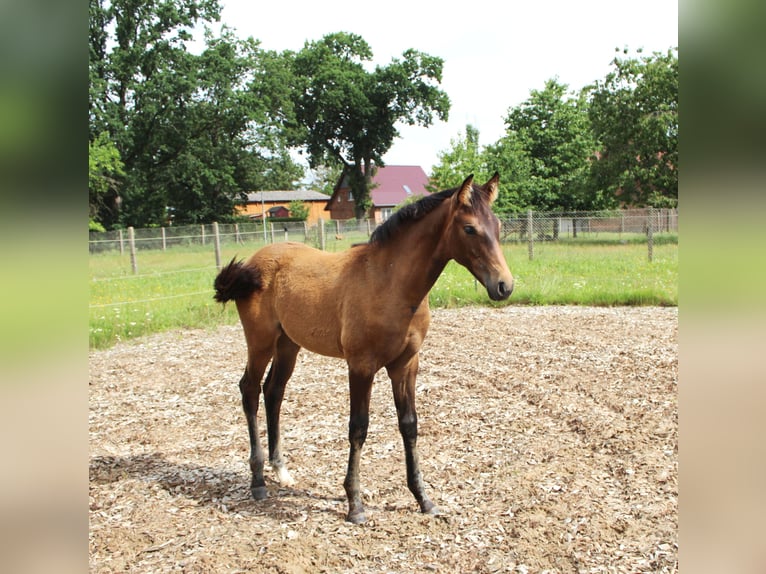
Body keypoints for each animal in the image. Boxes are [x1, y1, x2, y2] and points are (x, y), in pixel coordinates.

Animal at [213, 173, 514, 523]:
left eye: (497, 225)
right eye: (469, 228)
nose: (504, 286)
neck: (389, 283)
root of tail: (252, 262)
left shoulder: (405, 364)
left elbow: (409, 425)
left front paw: (423, 498)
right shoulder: (361, 365)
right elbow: (358, 428)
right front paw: (354, 504)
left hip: (288, 344)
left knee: (273, 392)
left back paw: (281, 471)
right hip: (260, 341)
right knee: (249, 389)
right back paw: (258, 481)